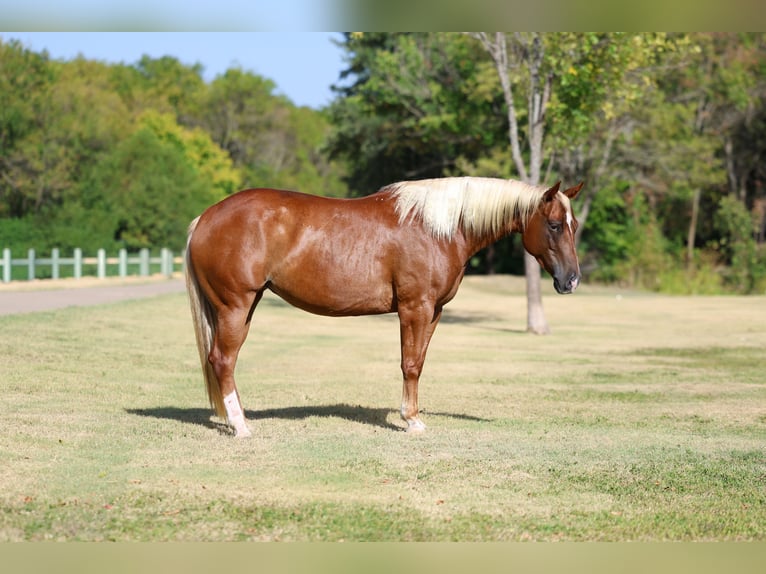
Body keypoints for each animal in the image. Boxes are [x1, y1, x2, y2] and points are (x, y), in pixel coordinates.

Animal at [185, 176, 583, 437]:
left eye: (574, 224)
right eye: (553, 225)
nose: (571, 281)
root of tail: (205, 218)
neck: (437, 228)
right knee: (223, 360)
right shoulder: (414, 308)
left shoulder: (434, 312)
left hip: (243, 307)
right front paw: (412, 421)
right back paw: (240, 427)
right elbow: (409, 365)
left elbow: (419, 362)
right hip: (235, 305)